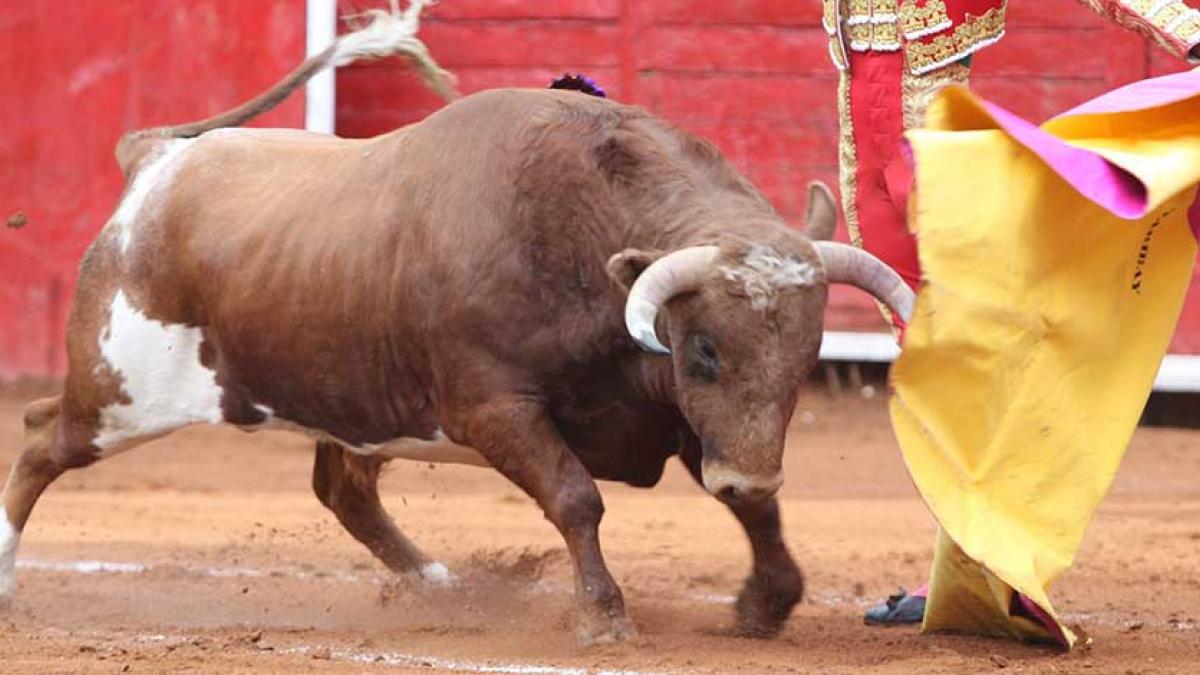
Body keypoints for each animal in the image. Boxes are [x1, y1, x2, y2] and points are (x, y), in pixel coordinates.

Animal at [0, 7, 912, 643]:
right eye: (707, 348)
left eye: (806, 355)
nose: (749, 476)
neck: (578, 239)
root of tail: (156, 159)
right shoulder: (495, 408)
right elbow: (577, 498)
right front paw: (605, 618)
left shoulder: (683, 413)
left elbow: (752, 510)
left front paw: (766, 601)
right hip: (121, 390)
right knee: (42, 437)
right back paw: (7, 581)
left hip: (347, 399)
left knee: (343, 490)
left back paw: (443, 585)